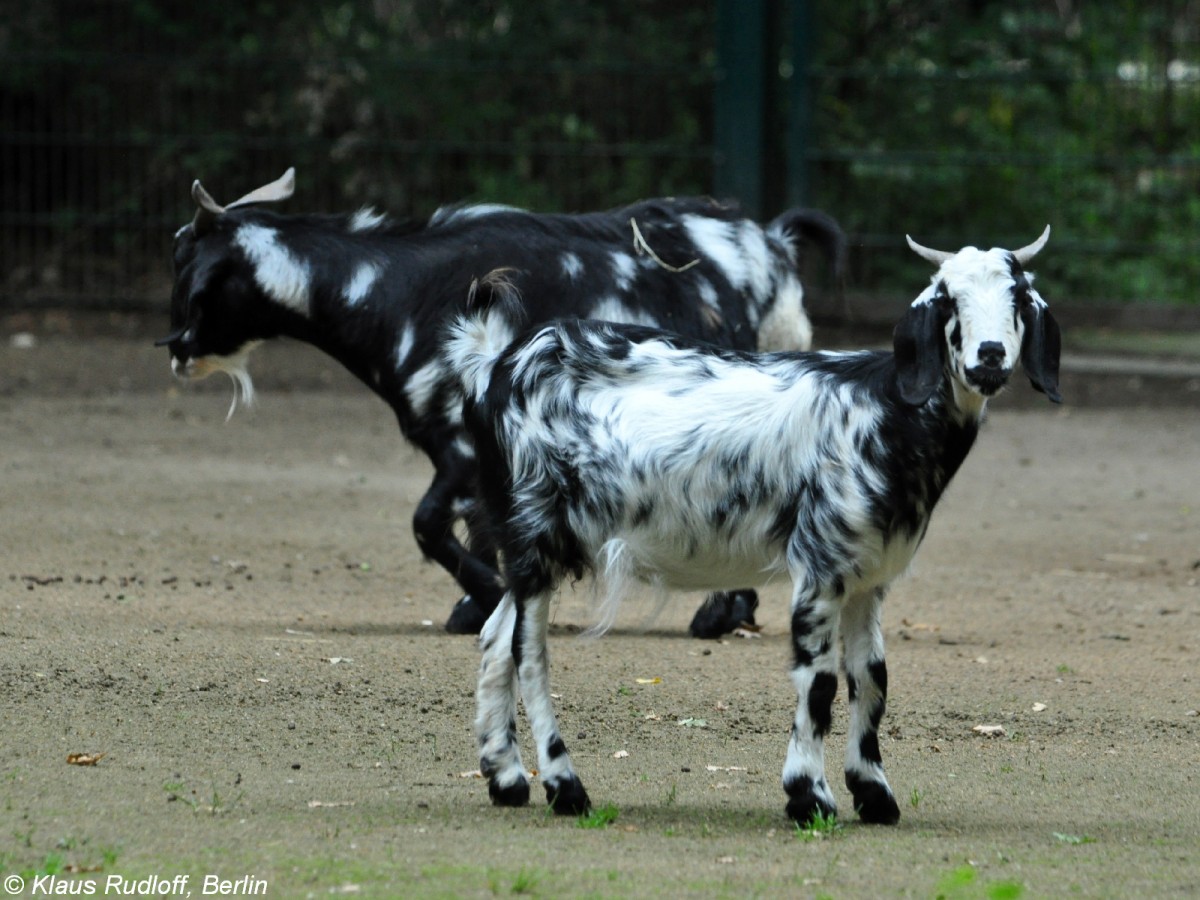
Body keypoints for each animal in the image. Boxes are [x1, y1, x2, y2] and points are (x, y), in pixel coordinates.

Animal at [157, 168, 844, 633]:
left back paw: (721, 613)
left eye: (189, 266)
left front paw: (487, 592)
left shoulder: (460, 445)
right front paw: (476, 604)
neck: (397, 292)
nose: (175, 350)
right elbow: (478, 522)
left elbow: (429, 523)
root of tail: (774, 244)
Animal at [448, 226, 1060, 825]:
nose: (989, 356)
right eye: (948, 300)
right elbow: (821, 682)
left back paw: (506, 779)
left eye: (1019, 299)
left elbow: (873, 679)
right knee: (530, 655)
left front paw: (874, 794)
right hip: (537, 532)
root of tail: (494, 366)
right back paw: (565, 787)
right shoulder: (820, 566)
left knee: (495, 639)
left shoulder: (868, 578)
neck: (884, 411)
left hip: (528, 549)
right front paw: (809, 796)